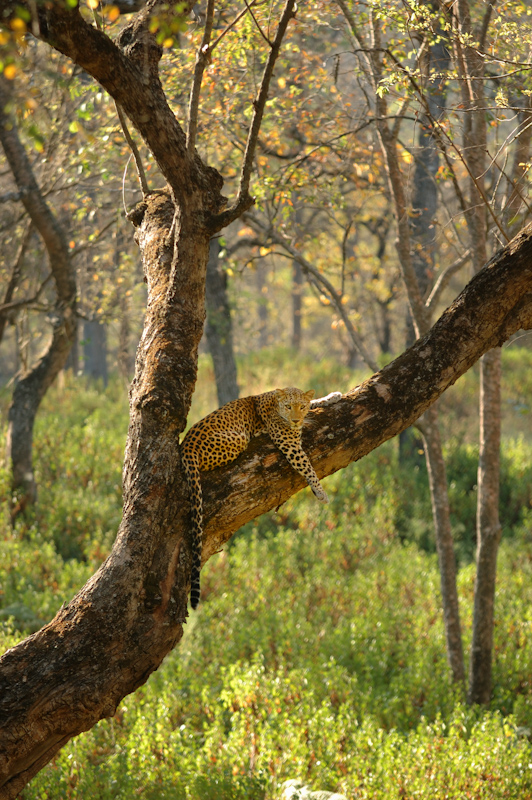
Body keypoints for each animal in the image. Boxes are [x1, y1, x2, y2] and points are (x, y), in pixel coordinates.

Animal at [181, 388, 342, 608]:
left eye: (300, 406)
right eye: (288, 407)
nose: (295, 421)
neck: (276, 403)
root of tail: (185, 445)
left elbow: (314, 400)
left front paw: (333, 396)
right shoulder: (290, 443)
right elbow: (307, 466)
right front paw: (320, 491)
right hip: (237, 439)